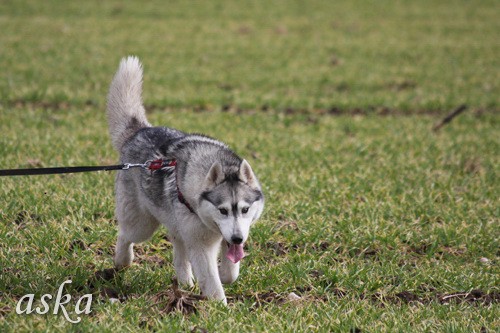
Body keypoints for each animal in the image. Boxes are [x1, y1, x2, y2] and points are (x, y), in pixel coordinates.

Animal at [107, 56, 264, 300]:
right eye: (222, 211)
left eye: (245, 209)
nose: (238, 239)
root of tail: (139, 131)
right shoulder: (200, 244)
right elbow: (212, 282)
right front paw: (219, 306)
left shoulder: (225, 236)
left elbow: (230, 273)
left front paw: (224, 274)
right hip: (142, 224)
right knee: (125, 234)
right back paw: (123, 260)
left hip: (175, 224)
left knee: (179, 250)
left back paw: (184, 283)